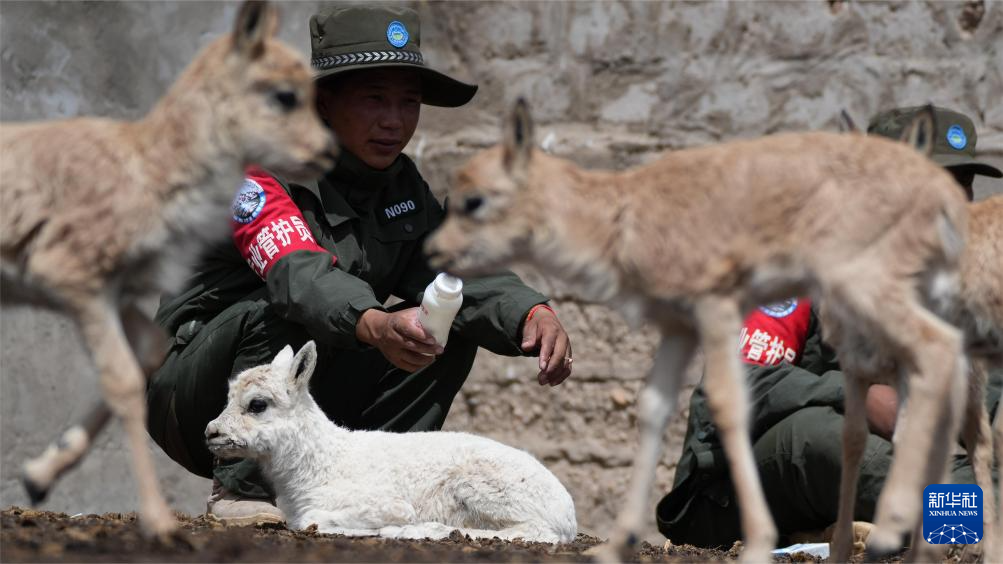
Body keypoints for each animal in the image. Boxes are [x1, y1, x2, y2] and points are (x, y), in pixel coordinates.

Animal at [0, 1, 337, 533]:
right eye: (285, 94)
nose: (328, 151)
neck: (146, 171)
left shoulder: (116, 291)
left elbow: (150, 351)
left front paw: (38, 475)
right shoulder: (73, 276)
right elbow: (120, 378)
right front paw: (160, 522)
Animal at [204, 341, 581, 541]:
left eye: (258, 404)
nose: (211, 433)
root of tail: (568, 514)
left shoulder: (384, 502)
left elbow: (313, 520)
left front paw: (387, 529)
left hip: (488, 488)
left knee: (536, 532)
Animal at [425, 97, 970, 557]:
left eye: (474, 200)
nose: (431, 252)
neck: (623, 216)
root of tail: (944, 197)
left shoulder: (716, 305)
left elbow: (730, 404)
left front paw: (757, 544)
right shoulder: (677, 325)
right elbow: (652, 408)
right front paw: (614, 546)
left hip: (866, 288)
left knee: (937, 355)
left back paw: (892, 529)